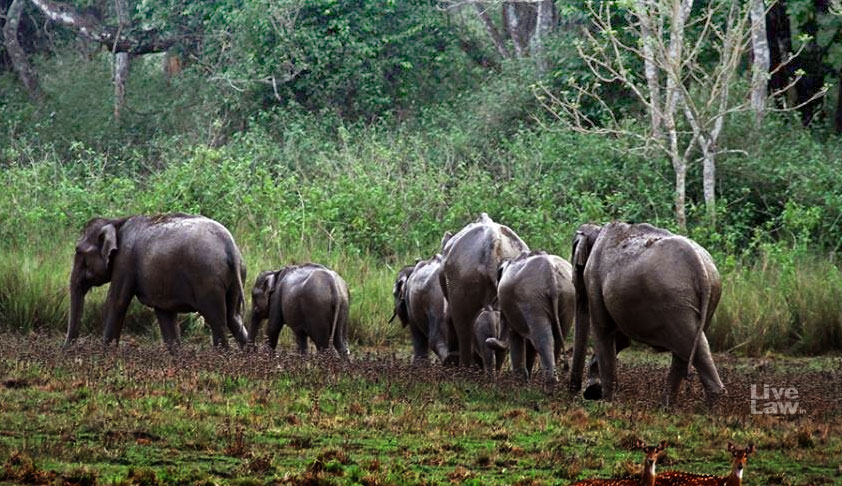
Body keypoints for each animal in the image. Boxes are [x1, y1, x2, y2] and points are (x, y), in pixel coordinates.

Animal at [65, 213, 249, 350]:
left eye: (78, 251)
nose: (66, 349)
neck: (116, 222)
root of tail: (229, 244)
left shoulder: (125, 260)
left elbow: (116, 303)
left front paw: (105, 354)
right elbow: (164, 314)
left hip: (207, 279)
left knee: (217, 320)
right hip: (236, 275)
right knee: (233, 317)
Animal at [487, 251, 574, 383]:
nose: (490, 339)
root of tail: (551, 276)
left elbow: (515, 336)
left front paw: (519, 382)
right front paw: (526, 381)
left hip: (532, 300)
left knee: (542, 340)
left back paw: (550, 382)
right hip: (567, 297)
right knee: (558, 338)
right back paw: (553, 381)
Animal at [569, 222, 725, 405]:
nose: (575, 393)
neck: (597, 229)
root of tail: (700, 265)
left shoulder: (593, 279)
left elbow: (602, 329)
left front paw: (605, 401)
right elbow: (622, 339)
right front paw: (595, 391)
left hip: (675, 302)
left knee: (690, 345)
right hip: (706, 298)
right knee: (692, 347)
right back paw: (667, 406)